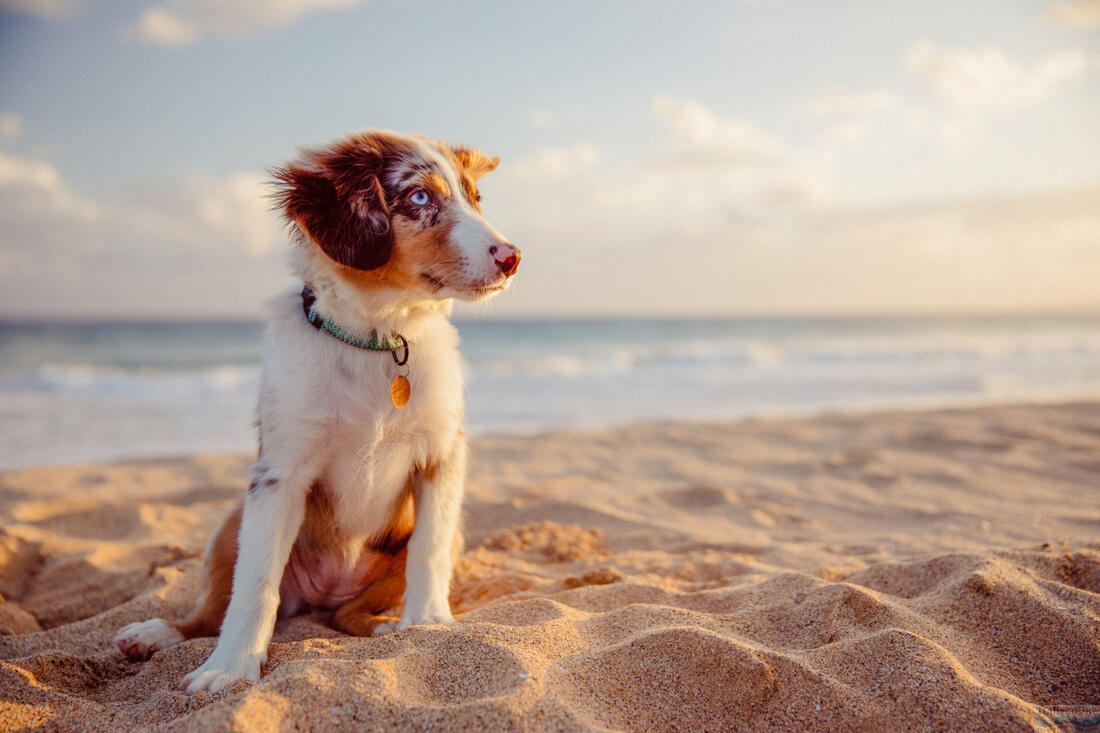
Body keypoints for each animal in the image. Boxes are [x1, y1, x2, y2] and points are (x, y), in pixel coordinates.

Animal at [111, 129, 519, 691]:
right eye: (419, 197)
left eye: (476, 198)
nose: (512, 256)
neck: (378, 339)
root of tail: (326, 592)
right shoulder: (280, 472)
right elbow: (254, 585)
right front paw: (229, 668)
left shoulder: (442, 455)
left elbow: (429, 549)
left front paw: (430, 623)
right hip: (230, 525)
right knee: (210, 611)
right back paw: (157, 633)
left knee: (349, 613)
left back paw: (385, 627)